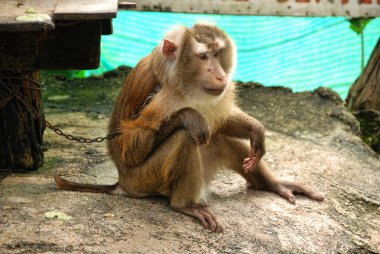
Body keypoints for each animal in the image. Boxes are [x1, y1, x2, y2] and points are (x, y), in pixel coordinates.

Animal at [55, 23, 324, 232]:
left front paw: (255, 129)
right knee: (185, 137)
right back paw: (184, 205)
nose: (220, 75)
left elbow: (220, 121)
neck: (179, 83)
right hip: (142, 181)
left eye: (217, 54)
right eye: (203, 57)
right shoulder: (159, 94)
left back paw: (270, 185)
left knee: (219, 139)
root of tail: (122, 184)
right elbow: (128, 146)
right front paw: (188, 115)